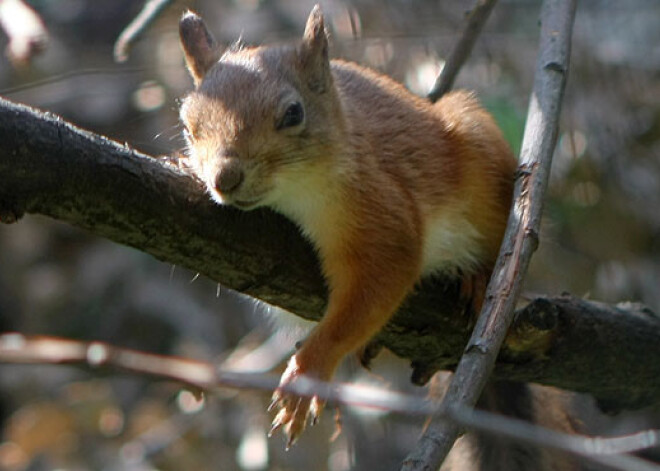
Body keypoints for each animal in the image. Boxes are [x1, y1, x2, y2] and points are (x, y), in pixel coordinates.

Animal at [179, 5, 516, 448]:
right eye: (188, 125)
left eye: (293, 113)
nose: (224, 178)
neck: (293, 196)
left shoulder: (381, 215)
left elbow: (367, 295)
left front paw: (309, 369)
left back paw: (477, 277)